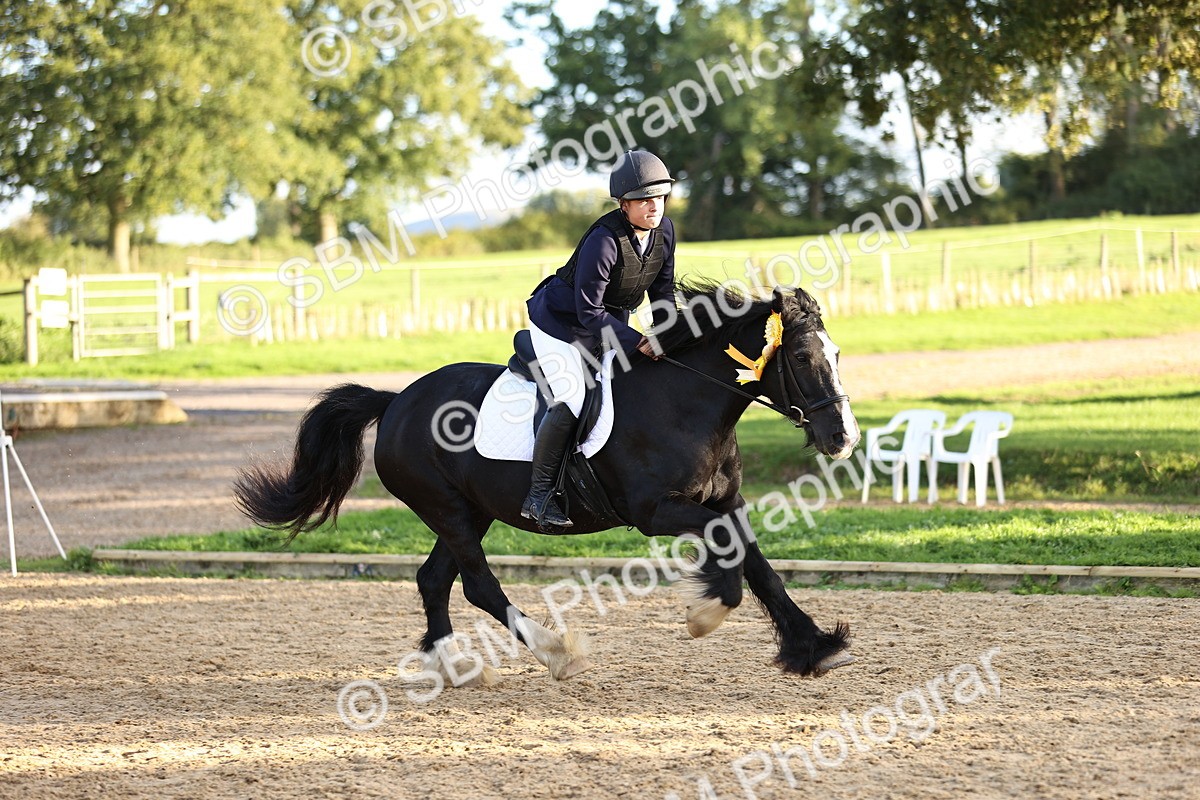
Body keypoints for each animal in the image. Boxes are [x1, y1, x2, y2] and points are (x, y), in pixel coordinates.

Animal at [234, 281, 861, 684]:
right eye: (801, 357)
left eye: (835, 352)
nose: (843, 437)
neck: (687, 402)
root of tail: (395, 402)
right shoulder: (655, 511)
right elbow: (729, 557)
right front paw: (707, 612)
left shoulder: (726, 501)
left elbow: (759, 567)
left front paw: (814, 648)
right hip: (447, 508)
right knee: (477, 584)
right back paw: (556, 652)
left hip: (468, 509)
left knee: (434, 580)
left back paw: (456, 668)